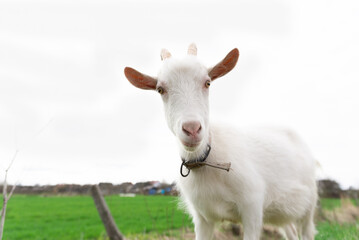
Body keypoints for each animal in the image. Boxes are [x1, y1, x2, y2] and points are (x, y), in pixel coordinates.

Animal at [124, 44, 318, 239]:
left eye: (207, 82)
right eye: (160, 89)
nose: (192, 129)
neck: (207, 159)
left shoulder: (252, 207)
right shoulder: (202, 218)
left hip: (309, 204)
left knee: (307, 230)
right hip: (280, 211)